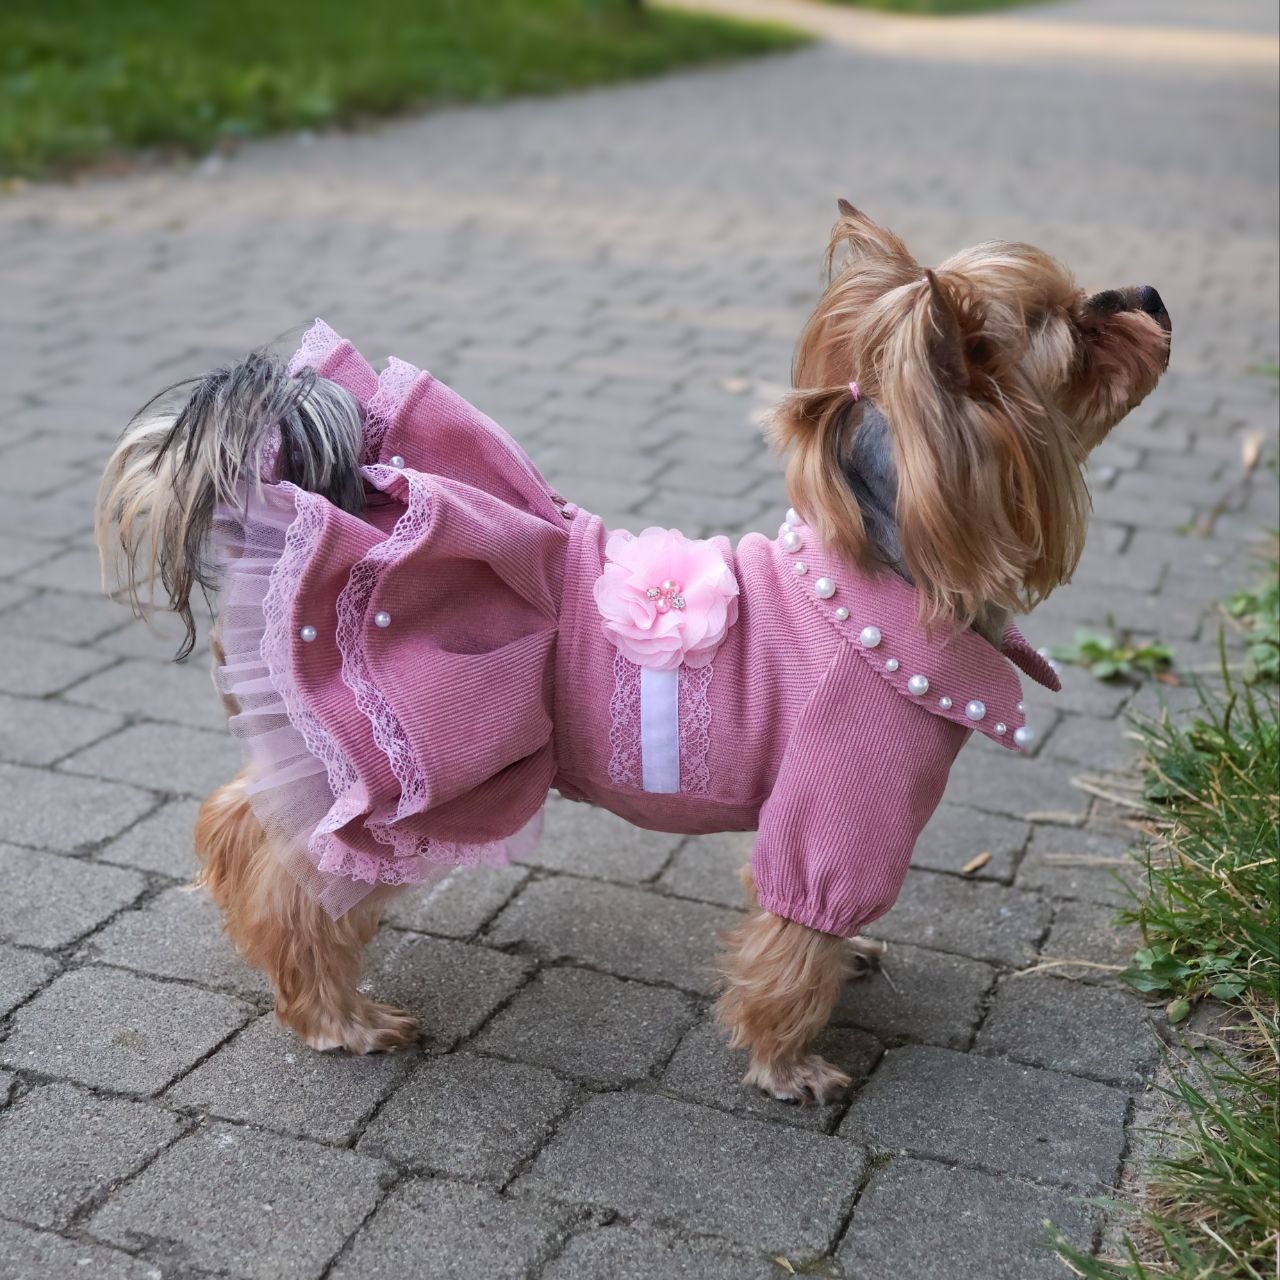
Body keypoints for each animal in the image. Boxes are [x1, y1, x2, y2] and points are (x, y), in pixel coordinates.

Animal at [92, 207, 1172, 1100]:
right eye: (1074, 330)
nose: (1151, 295)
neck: (888, 574)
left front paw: (843, 962)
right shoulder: (843, 799)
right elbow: (795, 933)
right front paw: (787, 1059)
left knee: (245, 819)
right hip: (406, 774)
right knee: (295, 869)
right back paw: (335, 1013)